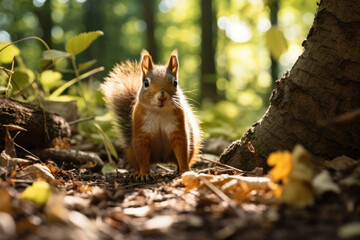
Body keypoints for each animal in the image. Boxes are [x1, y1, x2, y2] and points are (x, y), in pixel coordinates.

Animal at [101, 49, 201, 180]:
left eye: (175, 82)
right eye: (146, 83)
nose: (162, 97)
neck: (159, 112)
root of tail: (161, 159)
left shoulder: (178, 127)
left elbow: (182, 150)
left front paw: (185, 170)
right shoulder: (142, 131)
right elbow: (143, 153)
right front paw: (144, 173)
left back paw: (178, 169)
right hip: (132, 152)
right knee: (138, 161)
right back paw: (136, 172)